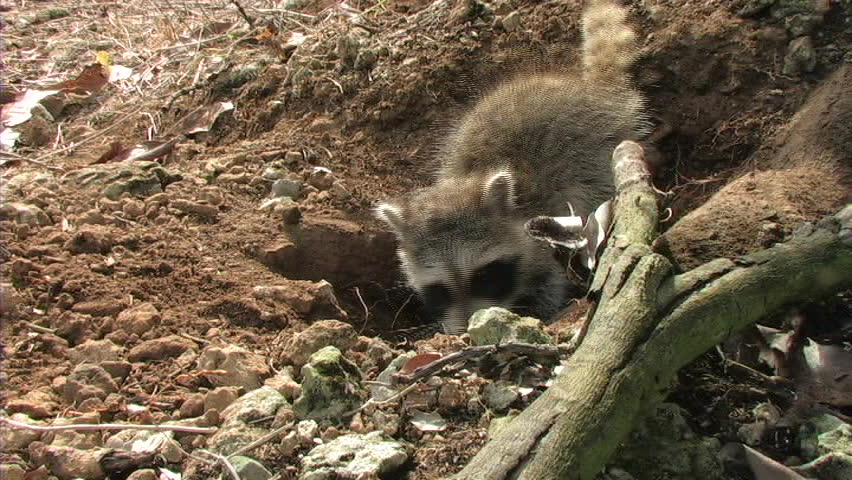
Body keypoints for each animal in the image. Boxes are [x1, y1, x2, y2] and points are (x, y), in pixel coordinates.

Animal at [376, 0, 648, 334]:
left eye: (484, 276)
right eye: (439, 289)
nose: (464, 331)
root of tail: (591, 90)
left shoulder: (540, 228)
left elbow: (550, 280)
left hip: (595, 153)